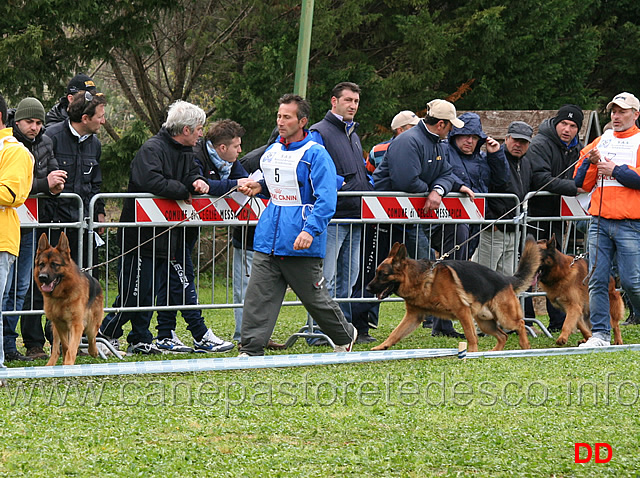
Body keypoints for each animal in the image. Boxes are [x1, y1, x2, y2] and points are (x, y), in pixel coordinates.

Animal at [34, 232, 102, 366]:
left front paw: (68, 363)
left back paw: (94, 352)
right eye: (41, 264)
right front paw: (66, 361)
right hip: (54, 328)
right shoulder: (60, 324)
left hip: (91, 325)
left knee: (92, 338)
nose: (42, 277)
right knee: (56, 349)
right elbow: (66, 346)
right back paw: (50, 364)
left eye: (55, 264)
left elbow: (72, 347)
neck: (61, 295)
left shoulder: (76, 325)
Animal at [364, 235, 540, 352]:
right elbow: (395, 333)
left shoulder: (462, 311)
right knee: (503, 336)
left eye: (382, 275)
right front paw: (382, 347)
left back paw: (525, 346)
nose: (367, 289)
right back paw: (495, 352)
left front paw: (471, 353)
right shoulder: (413, 316)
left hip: (504, 317)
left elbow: (470, 336)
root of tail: (505, 279)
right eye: (376, 273)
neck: (422, 279)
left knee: (520, 323)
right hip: (485, 322)